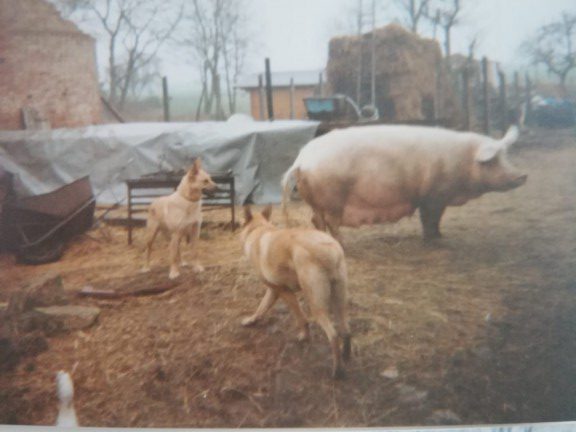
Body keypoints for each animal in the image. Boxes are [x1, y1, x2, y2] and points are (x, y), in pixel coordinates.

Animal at [240, 206, 352, 378]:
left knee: (333, 335)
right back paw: (346, 357)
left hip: (317, 306)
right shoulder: (273, 291)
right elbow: (261, 308)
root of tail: (328, 248)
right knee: (346, 331)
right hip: (339, 302)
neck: (259, 229)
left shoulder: (283, 292)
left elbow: (301, 318)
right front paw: (251, 320)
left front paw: (304, 337)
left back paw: (337, 371)